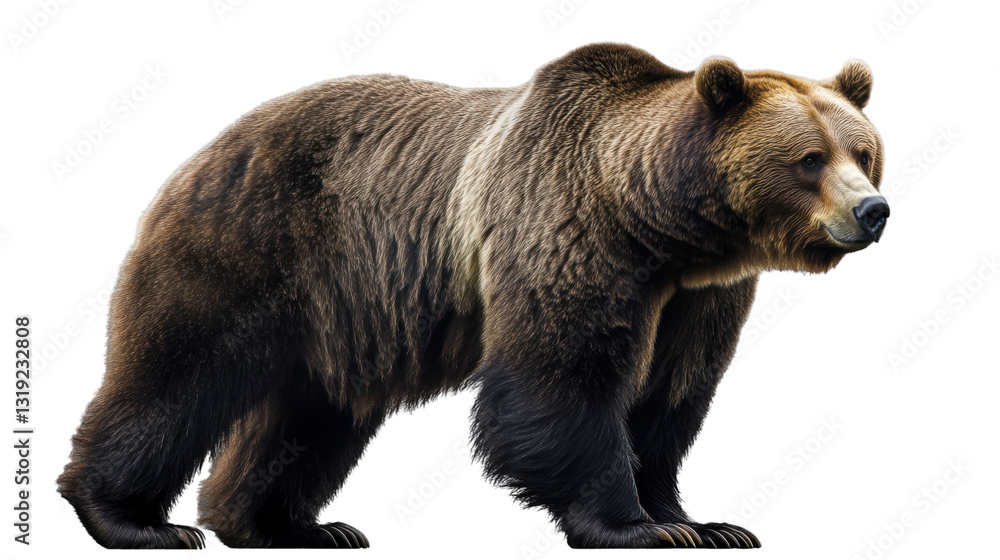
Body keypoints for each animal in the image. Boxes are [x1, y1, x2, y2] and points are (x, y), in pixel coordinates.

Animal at [57, 42, 888, 549]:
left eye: (864, 150)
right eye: (809, 158)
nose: (873, 210)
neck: (659, 226)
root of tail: (205, 149)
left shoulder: (697, 299)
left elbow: (670, 397)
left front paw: (701, 522)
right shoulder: (564, 228)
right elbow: (560, 383)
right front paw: (635, 525)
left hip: (338, 313)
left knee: (308, 417)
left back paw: (285, 525)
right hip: (251, 245)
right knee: (173, 377)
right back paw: (135, 519)